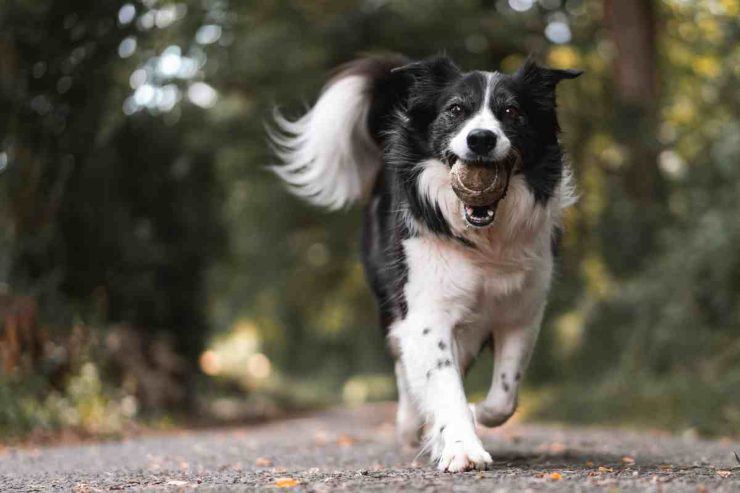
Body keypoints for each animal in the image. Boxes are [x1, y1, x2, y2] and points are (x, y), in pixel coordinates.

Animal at [268, 52, 580, 470]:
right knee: (404, 365)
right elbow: (444, 385)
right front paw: (462, 447)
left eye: (512, 112)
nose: (481, 138)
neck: (484, 241)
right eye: (456, 110)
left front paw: (474, 417)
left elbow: (503, 396)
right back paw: (410, 425)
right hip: (392, 304)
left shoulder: (521, 312)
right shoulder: (426, 312)